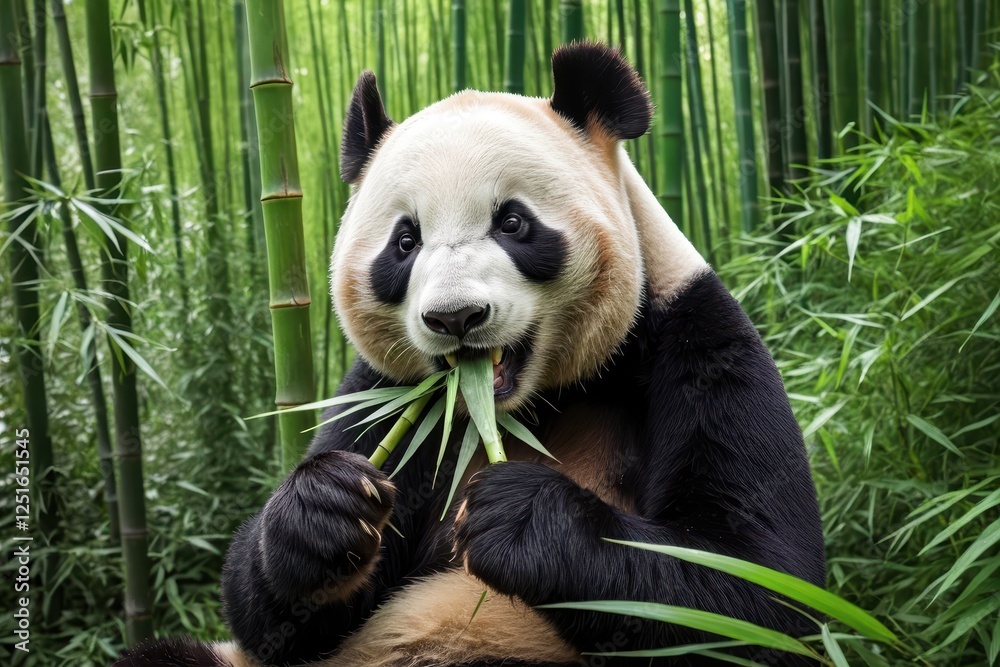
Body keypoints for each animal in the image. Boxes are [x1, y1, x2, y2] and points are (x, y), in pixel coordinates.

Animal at [117, 43, 824, 667]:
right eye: (405, 241)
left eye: (512, 223)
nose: (456, 317)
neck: (523, 406)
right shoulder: (385, 388)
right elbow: (277, 623)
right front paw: (323, 511)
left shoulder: (698, 343)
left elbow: (756, 589)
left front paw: (522, 519)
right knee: (167, 657)